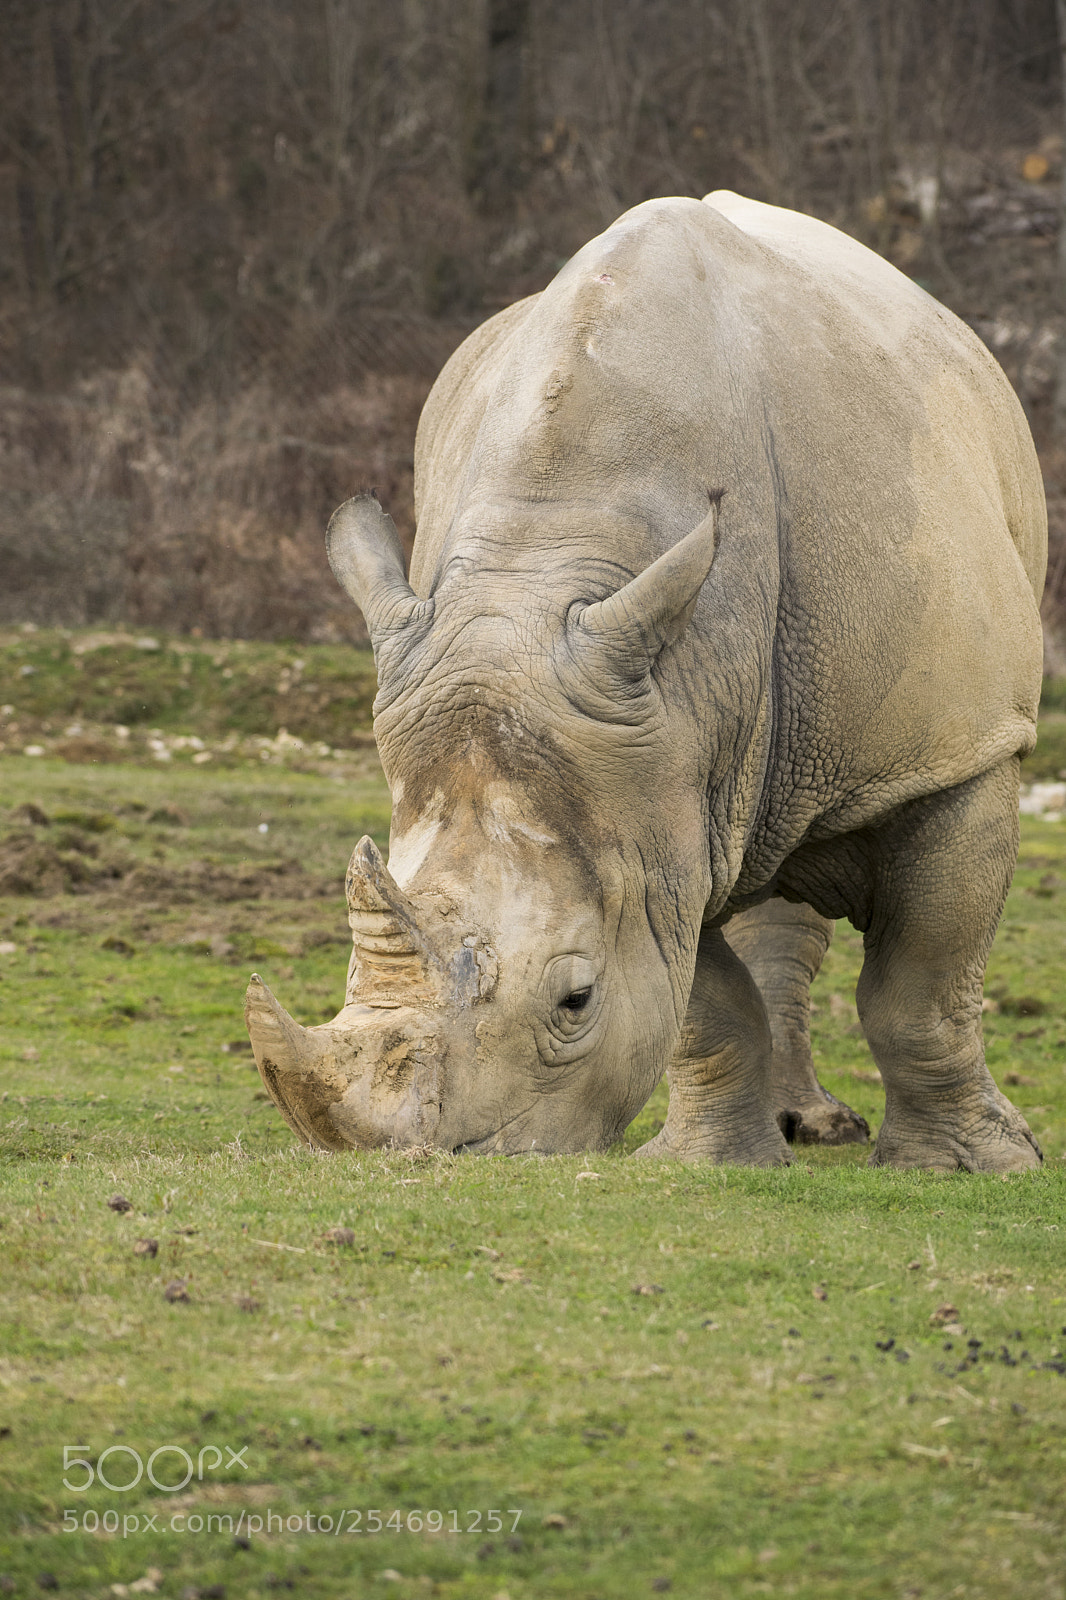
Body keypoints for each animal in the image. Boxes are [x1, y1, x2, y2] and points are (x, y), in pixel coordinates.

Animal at [245, 191, 1047, 1171]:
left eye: (575, 1001)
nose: (421, 1160)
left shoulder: (950, 750)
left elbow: (922, 985)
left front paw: (974, 1167)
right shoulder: (650, 779)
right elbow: (696, 995)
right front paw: (710, 1165)